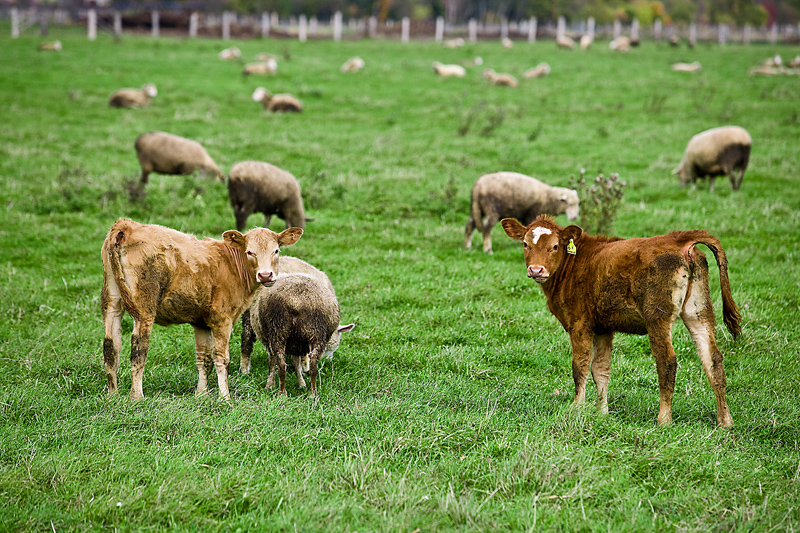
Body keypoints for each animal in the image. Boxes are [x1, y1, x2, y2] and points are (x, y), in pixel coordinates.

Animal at [100, 216, 300, 400]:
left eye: (276, 250)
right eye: (249, 251)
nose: (265, 275)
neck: (230, 264)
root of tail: (127, 225)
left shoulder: (201, 323)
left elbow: (204, 359)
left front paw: (201, 394)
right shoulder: (222, 319)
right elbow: (221, 358)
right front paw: (225, 398)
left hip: (111, 300)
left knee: (111, 345)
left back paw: (113, 394)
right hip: (145, 308)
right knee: (138, 349)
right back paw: (136, 396)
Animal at [504, 214, 740, 426]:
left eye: (554, 246)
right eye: (525, 244)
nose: (536, 269)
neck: (576, 263)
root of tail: (678, 239)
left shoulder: (579, 323)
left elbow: (580, 367)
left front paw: (576, 409)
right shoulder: (603, 327)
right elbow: (600, 369)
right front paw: (601, 413)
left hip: (657, 316)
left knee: (667, 362)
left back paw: (664, 420)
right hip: (699, 310)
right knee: (713, 359)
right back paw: (725, 421)